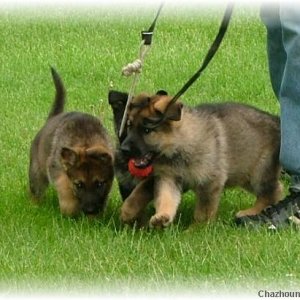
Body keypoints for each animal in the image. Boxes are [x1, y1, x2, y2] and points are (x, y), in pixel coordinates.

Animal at [29, 68, 113, 217]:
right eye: (79, 185)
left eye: (99, 184)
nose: (90, 211)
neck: (86, 141)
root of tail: (51, 118)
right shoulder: (57, 170)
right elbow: (65, 188)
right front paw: (70, 211)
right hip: (36, 172)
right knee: (36, 189)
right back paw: (35, 206)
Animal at [110, 90, 284, 229]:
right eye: (129, 126)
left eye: (147, 130)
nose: (123, 150)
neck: (178, 146)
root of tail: (276, 121)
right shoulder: (168, 177)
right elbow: (166, 198)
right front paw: (162, 216)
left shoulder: (210, 182)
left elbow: (203, 212)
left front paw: (197, 230)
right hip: (244, 173)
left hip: (259, 171)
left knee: (272, 191)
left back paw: (250, 212)